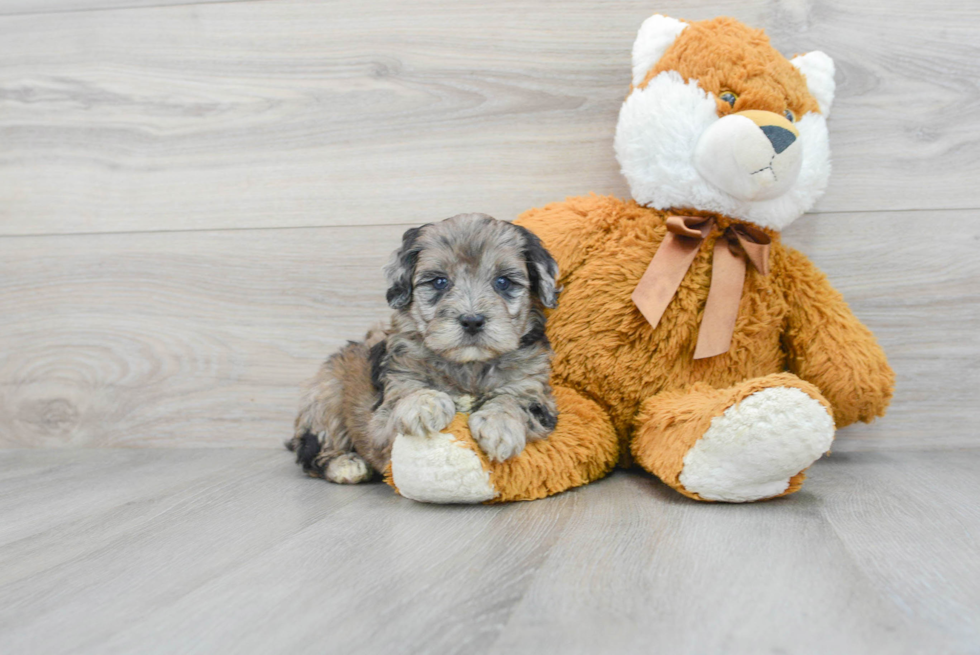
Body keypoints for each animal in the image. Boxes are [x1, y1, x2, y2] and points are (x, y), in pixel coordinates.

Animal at [290, 213, 560, 484]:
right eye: (440, 282)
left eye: (503, 282)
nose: (472, 321)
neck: (469, 366)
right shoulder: (381, 420)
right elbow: (404, 399)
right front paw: (424, 404)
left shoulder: (534, 392)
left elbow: (513, 400)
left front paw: (500, 424)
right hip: (327, 394)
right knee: (311, 450)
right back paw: (346, 464)